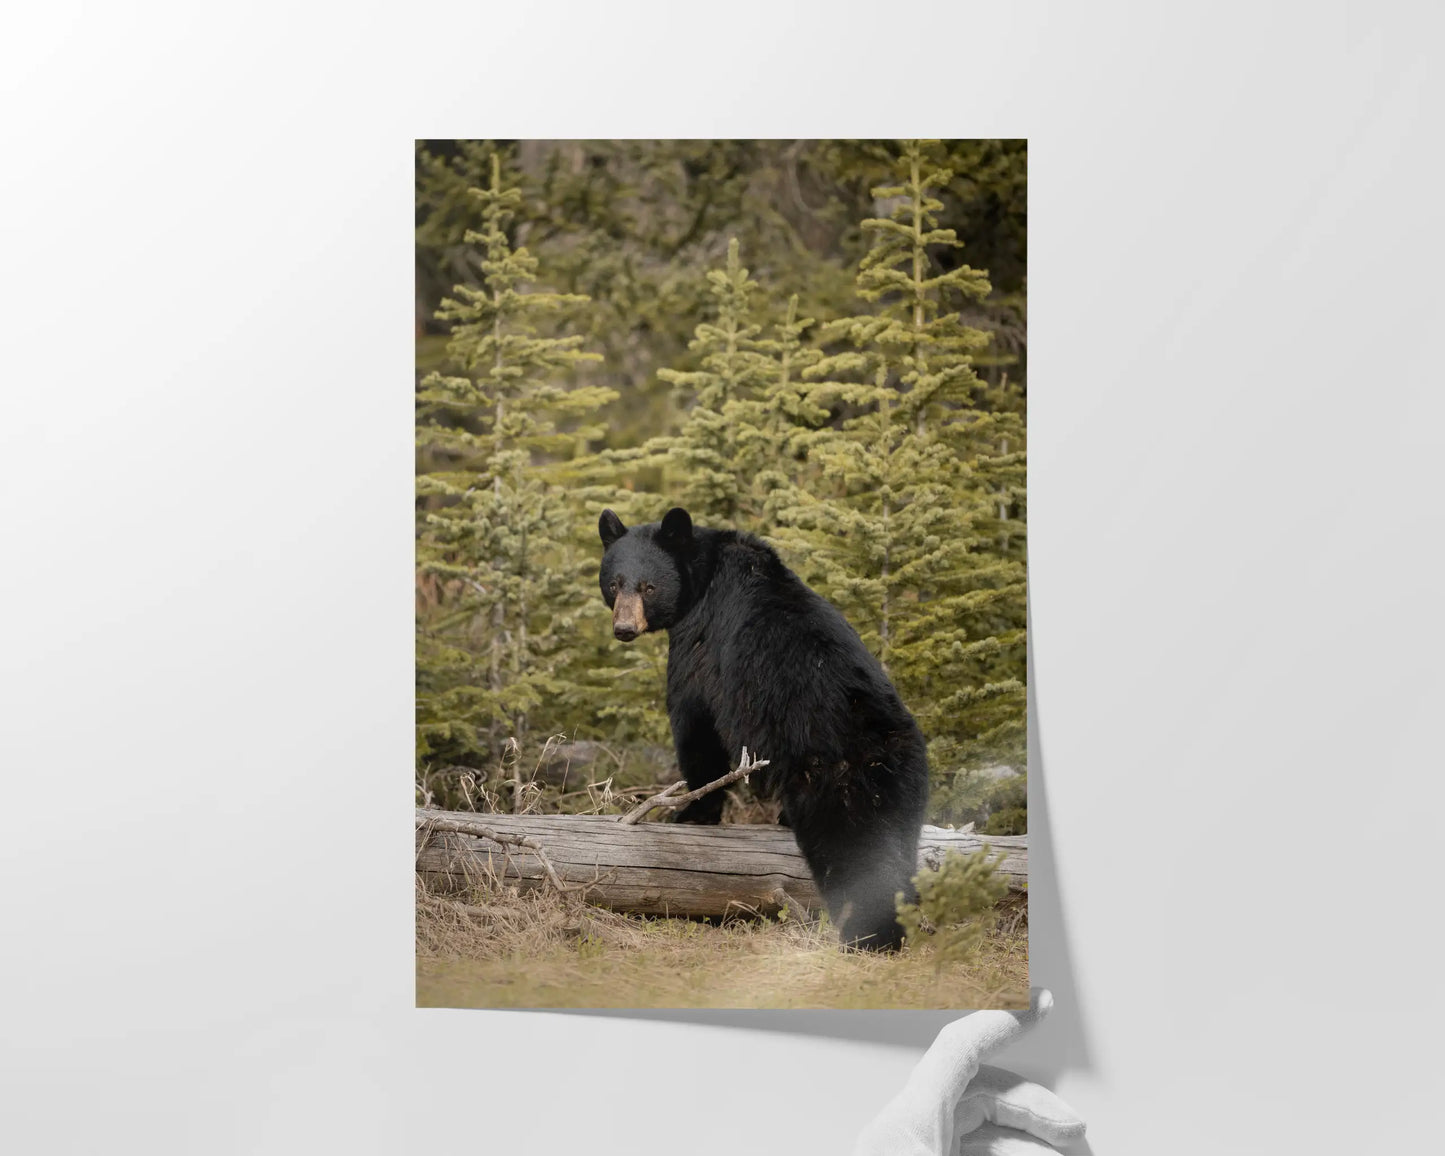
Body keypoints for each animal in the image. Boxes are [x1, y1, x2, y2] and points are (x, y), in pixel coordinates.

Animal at [597, 505, 929, 951]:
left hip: (832, 779)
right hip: (906, 784)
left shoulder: (699, 646)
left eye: (649, 587)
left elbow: (697, 728)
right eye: (614, 583)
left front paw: (691, 812)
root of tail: (879, 739)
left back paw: (869, 936)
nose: (624, 629)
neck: (704, 576)